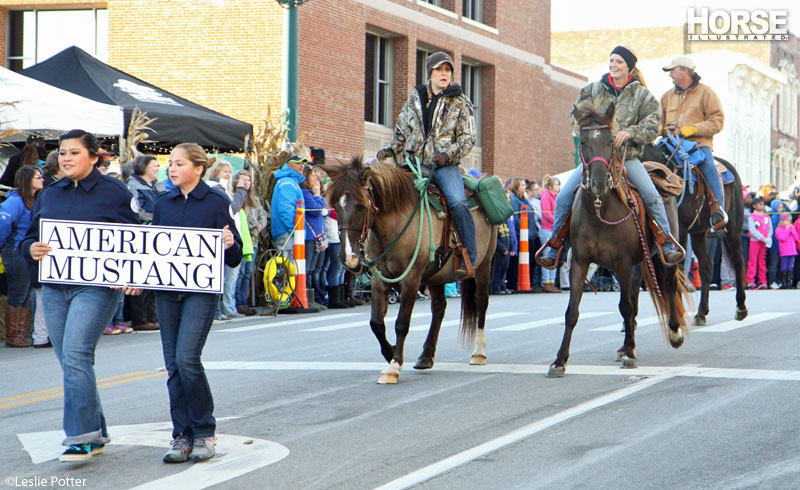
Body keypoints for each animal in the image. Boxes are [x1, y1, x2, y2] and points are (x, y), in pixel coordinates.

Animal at [322, 157, 496, 382]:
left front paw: (393, 366)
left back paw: (478, 353)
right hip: (436, 275)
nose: (347, 257)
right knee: (438, 308)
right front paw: (390, 353)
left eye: (361, 206)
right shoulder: (380, 279)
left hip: (484, 264)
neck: (394, 223)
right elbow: (376, 323)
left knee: (481, 301)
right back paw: (426, 356)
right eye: (335, 205)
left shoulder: (411, 278)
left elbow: (402, 323)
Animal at [548, 98, 692, 376]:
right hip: (637, 264)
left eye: (611, 140)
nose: (599, 182)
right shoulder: (580, 262)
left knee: (669, 287)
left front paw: (632, 355)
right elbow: (572, 312)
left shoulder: (622, 262)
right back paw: (627, 345)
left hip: (664, 255)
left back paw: (673, 334)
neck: (599, 209)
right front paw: (559, 361)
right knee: (634, 300)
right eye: (583, 141)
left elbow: (625, 306)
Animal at [640, 144, 748, 324]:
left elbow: (678, 270)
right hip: (698, 234)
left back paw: (741, 308)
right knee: (706, 267)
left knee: (738, 261)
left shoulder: (680, 233)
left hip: (733, 230)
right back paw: (701, 312)